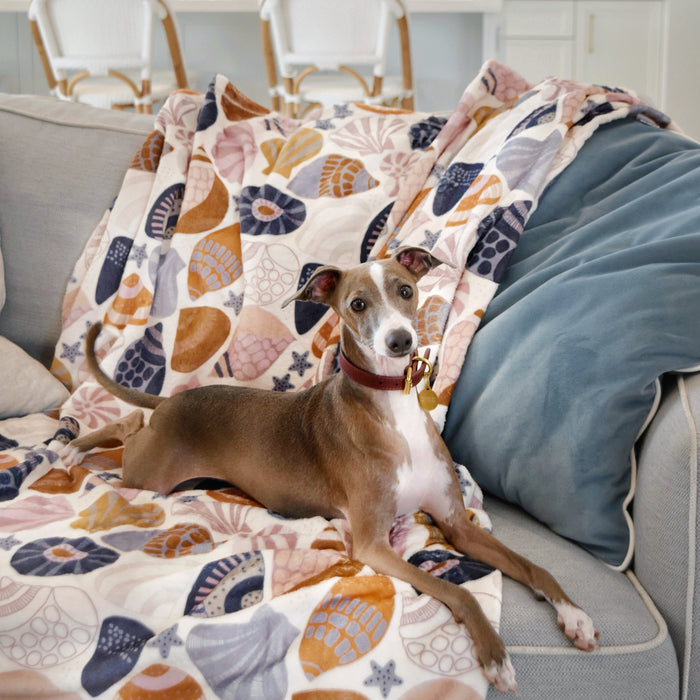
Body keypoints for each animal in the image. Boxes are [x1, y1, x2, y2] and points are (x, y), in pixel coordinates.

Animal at [69, 247, 596, 696]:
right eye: (357, 304)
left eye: (406, 290)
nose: (400, 341)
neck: (392, 408)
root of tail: (171, 401)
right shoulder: (372, 544)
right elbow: (456, 591)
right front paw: (495, 656)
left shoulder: (454, 523)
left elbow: (534, 566)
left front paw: (573, 615)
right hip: (150, 472)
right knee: (125, 425)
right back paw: (76, 445)